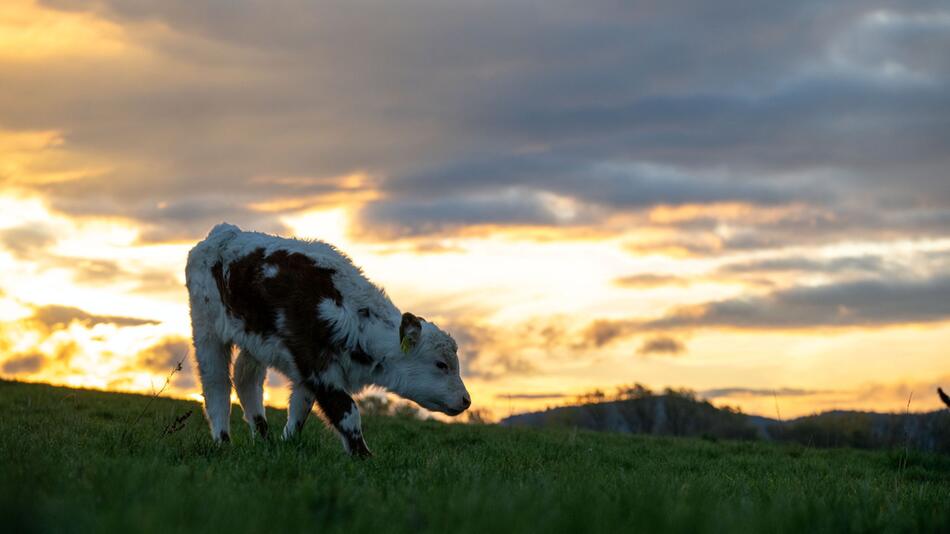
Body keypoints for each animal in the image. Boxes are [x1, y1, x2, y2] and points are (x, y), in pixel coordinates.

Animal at [184, 224, 470, 458]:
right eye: (441, 364)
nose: (466, 400)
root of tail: (223, 232)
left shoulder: (308, 372)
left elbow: (299, 409)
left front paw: (287, 444)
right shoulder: (317, 366)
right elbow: (347, 412)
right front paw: (364, 456)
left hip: (253, 341)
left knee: (246, 379)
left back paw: (263, 438)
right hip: (206, 327)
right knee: (216, 385)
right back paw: (223, 441)